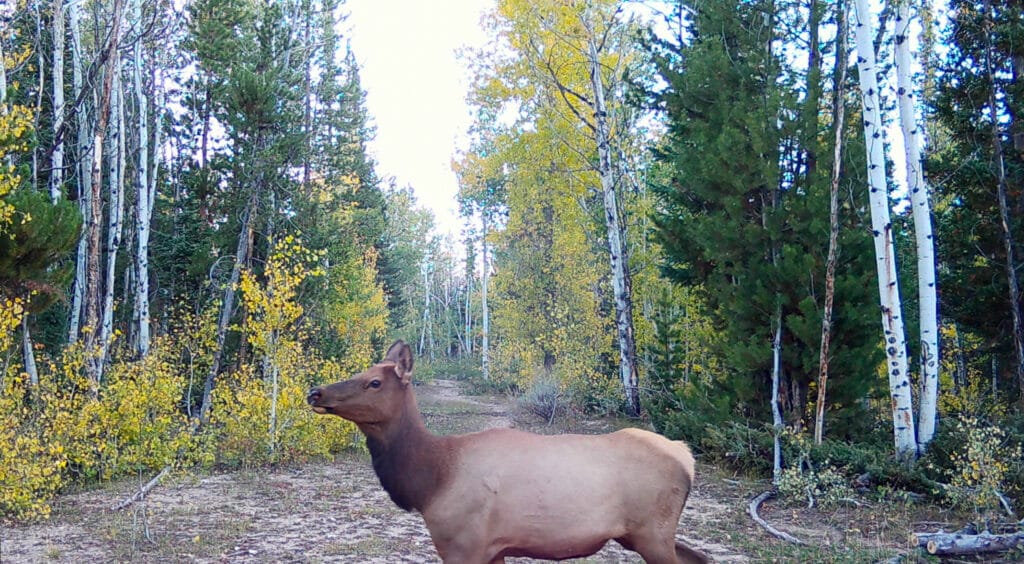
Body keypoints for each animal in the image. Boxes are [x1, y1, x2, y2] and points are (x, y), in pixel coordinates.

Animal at [307, 340, 709, 564]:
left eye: (374, 382)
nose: (315, 392)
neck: (431, 482)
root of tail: (685, 455)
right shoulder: (494, 549)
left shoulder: (462, 545)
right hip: (641, 534)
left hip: (652, 531)